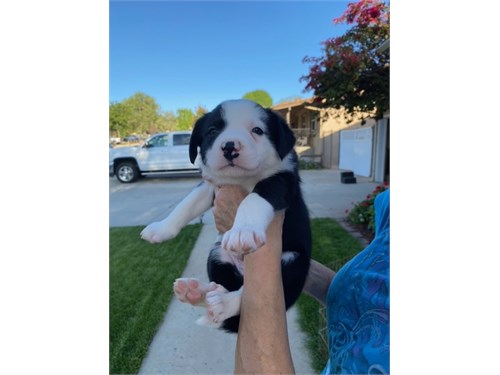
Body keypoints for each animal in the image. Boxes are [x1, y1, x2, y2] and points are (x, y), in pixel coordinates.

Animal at [141, 99, 310, 332]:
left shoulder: (283, 180)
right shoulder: (211, 187)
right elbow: (187, 203)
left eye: (257, 130)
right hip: (217, 254)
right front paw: (161, 229)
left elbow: (255, 198)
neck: (241, 179)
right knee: (224, 286)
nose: (230, 146)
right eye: (212, 131)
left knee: (244, 296)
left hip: (292, 263)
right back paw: (198, 293)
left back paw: (222, 303)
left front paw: (242, 231)